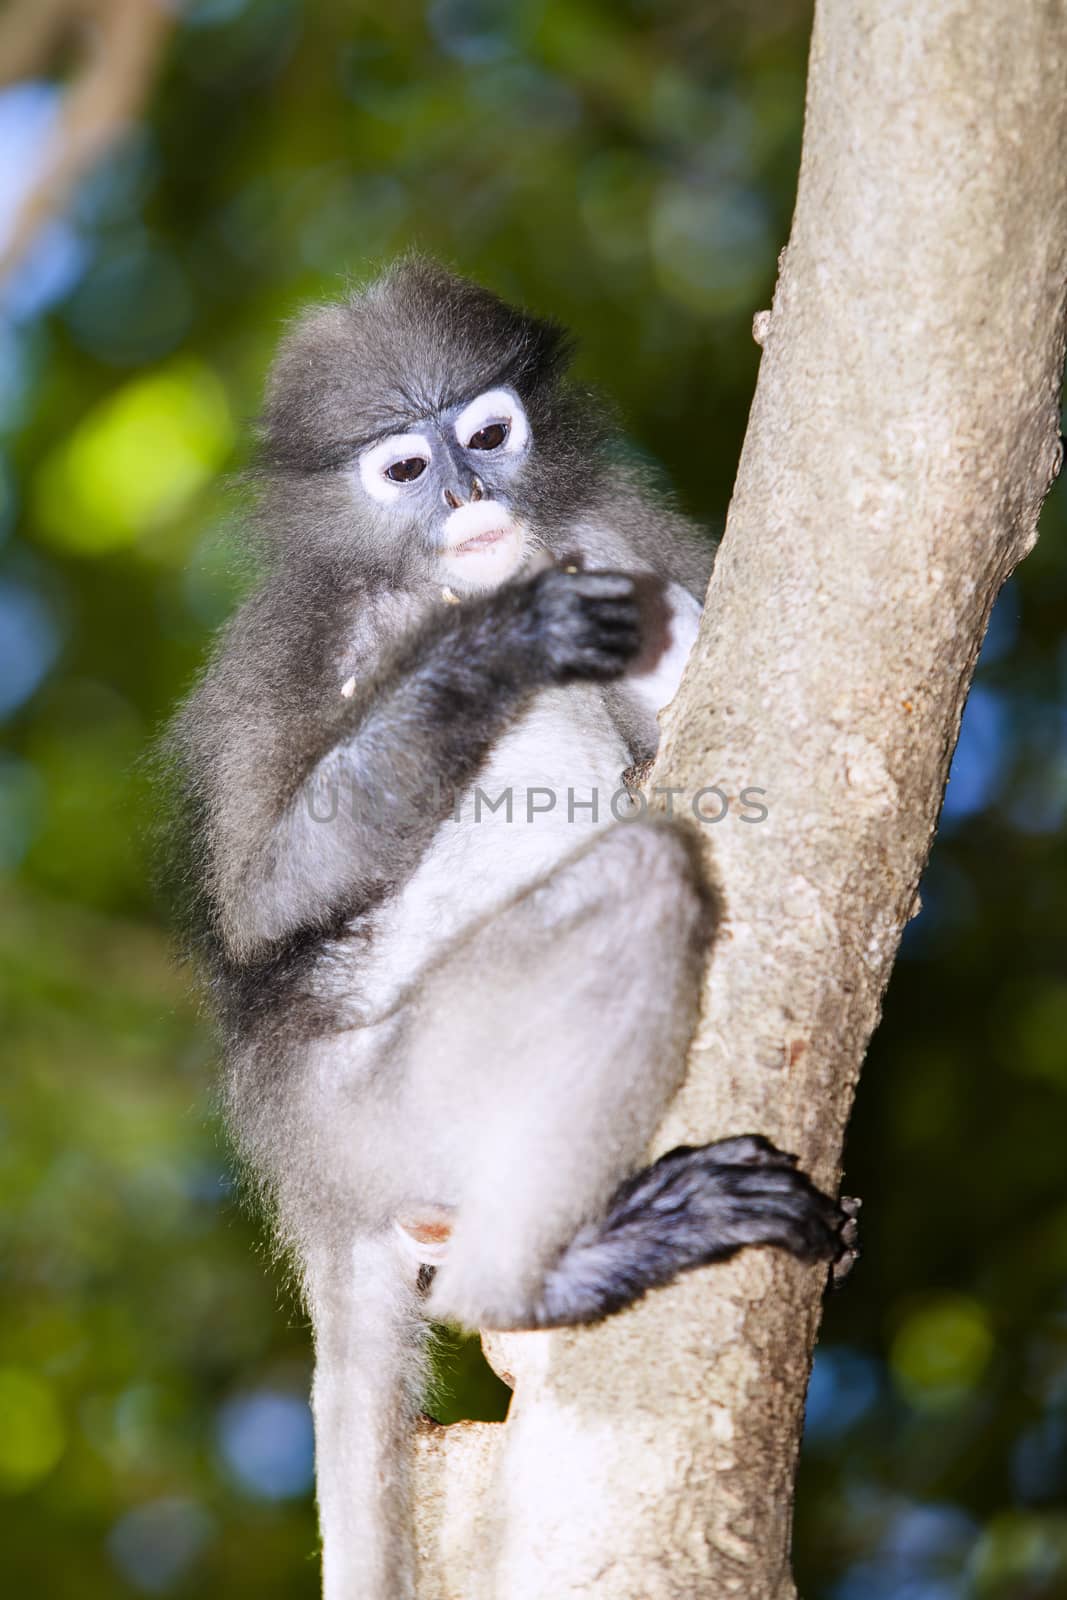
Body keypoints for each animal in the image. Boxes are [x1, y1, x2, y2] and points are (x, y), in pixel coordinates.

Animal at [163, 262, 851, 1600]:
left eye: (486, 436)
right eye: (404, 466)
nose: (470, 496)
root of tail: (310, 1176)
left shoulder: (614, 526)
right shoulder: (294, 640)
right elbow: (267, 897)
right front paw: (500, 645)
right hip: (392, 1090)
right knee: (637, 875)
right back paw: (544, 1280)